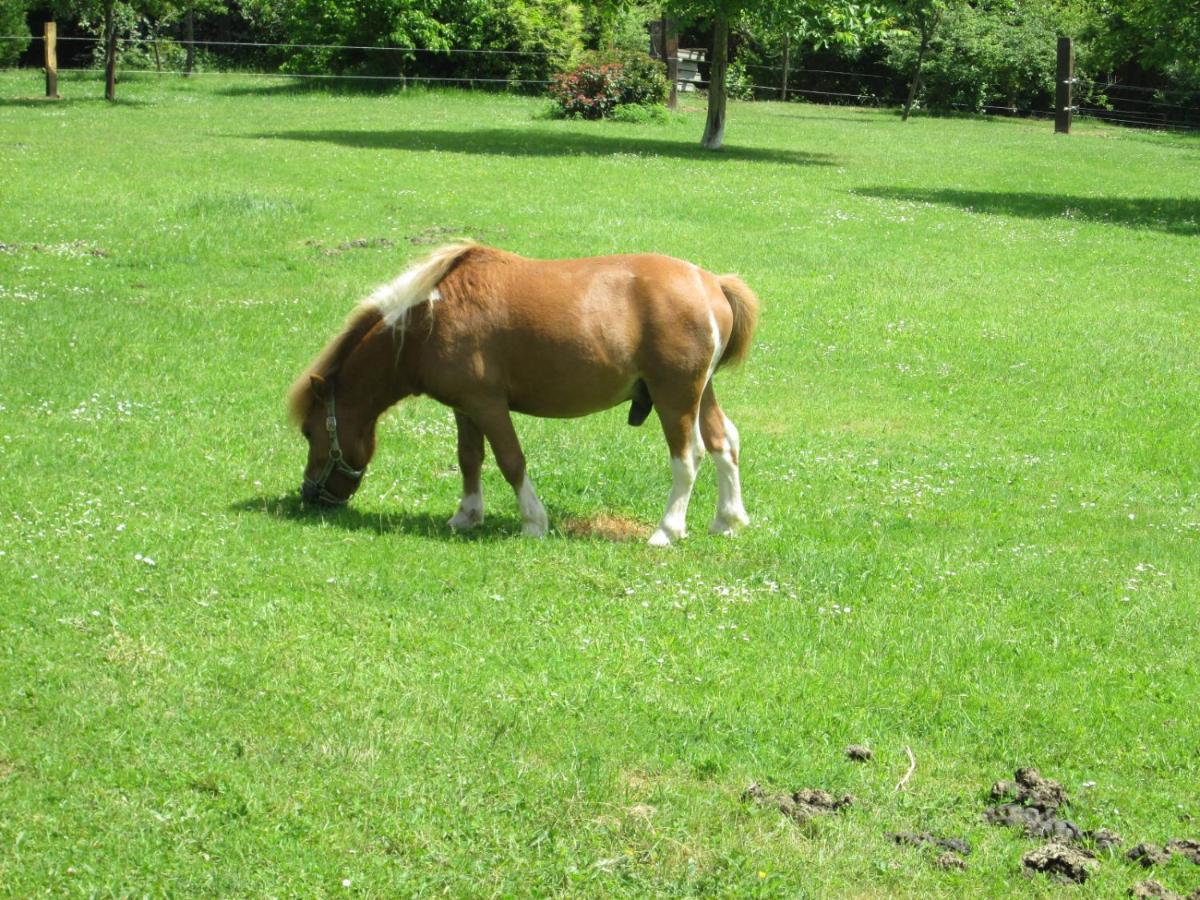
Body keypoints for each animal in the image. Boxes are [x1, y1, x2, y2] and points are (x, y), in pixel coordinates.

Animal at [288, 243, 758, 547]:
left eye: (310, 432)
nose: (310, 495)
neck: (429, 320)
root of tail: (711, 283)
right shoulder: (465, 408)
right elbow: (469, 459)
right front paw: (467, 515)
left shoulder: (488, 405)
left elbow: (511, 461)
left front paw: (533, 521)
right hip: (700, 393)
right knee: (724, 444)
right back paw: (728, 519)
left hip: (674, 397)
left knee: (689, 457)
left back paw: (667, 530)